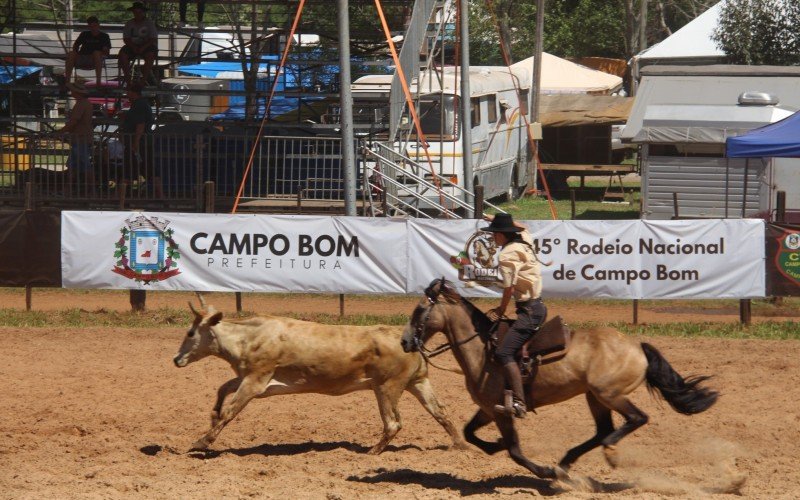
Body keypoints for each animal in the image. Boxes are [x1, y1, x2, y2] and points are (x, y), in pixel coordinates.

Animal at [400, 280, 720, 478]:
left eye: (419, 310)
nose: (404, 342)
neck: (482, 349)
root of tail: (637, 346)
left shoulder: (502, 412)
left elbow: (515, 450)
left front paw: (542, 471)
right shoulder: (489, 408)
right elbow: (470, 433)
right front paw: (496, 446)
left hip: (609, 394)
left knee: (636, 419)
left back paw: (608, 453)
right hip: (595, 397)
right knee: (603, 430)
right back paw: (566, 463)